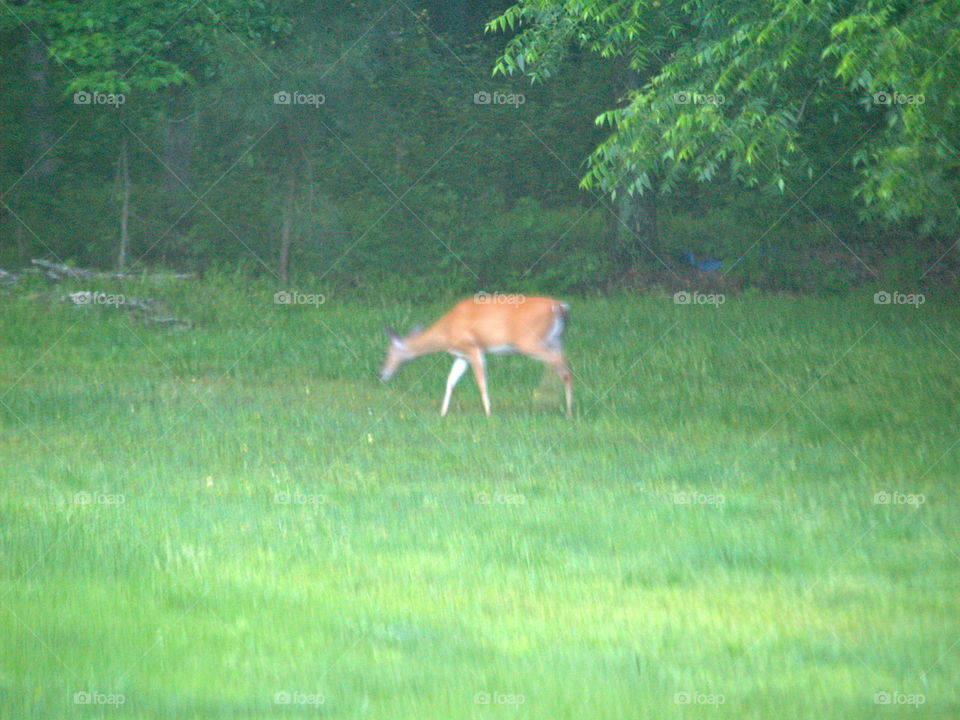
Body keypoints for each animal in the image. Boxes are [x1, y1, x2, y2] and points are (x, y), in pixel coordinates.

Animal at [380, 292, 572, 416]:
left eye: (388, 352)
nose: (381, 373)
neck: (446, 331)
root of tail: (559, 306)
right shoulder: (461, 355)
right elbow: (450, 381)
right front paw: (443, 413)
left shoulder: (472, 347)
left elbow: (481, 381)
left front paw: (488, 413)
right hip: (556, 340)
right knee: (564, 366)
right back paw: (568, 409)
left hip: (529, 341)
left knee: (556, 363)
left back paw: (547, 399)